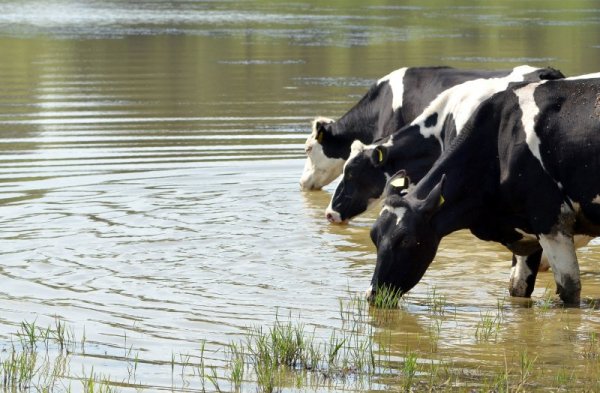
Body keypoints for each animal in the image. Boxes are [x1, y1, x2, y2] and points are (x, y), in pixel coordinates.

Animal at [368, 75, 600, 304]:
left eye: (405, 239)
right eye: (374, 236)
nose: (374, 294)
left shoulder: (551, 220)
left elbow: (569, 291)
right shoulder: (527, 231)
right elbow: (518, 289)